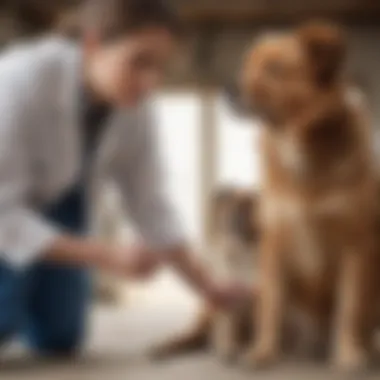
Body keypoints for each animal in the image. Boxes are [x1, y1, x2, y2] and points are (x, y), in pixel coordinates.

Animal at [238, 21, 380, 372]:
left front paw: (348, 354)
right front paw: (263, 351)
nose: (232, 88)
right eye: (247, 67)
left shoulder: (356, 244)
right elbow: (271, 306)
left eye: (274, 69)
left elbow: (349, 306)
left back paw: (364, 350)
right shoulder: (273, 242)